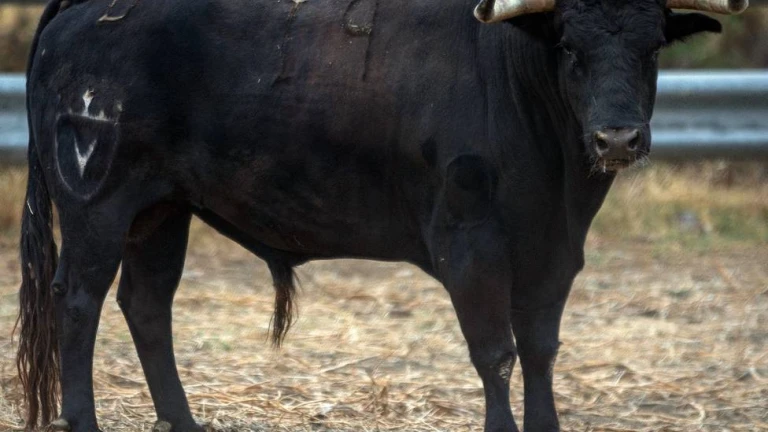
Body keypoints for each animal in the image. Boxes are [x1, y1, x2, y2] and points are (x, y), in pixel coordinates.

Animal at [16, 0, 745, 430]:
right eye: (569, 46)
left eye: (653, 47)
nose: (617, 138)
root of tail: (86, 9)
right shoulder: (469, 243)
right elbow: (496, 353)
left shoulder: (553, 253)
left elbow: (540, 349)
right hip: (98, 202)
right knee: (77, 300)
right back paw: (83, 420)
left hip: (162, 209)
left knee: (147, 303)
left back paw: (183, 422)